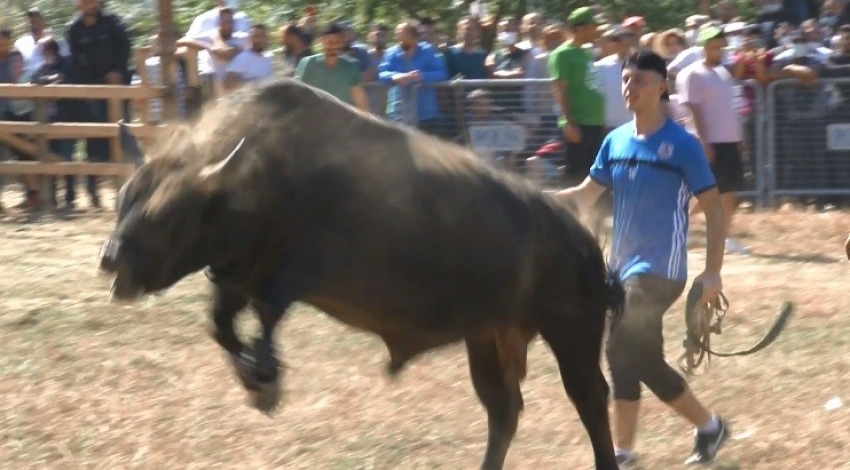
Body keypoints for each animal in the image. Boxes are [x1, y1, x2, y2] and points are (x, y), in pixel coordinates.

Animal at [99, 79, 628, 468]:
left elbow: (264, 321)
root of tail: (582, 240)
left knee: (589, 398)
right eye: (126, 197)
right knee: (504, 410)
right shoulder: (235, 279)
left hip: (570, 333)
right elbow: (222, 327)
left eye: (169, 214)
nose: (111, 258)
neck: (258, 177)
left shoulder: (288, 276)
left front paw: (266, 382)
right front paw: (256, 382)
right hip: (487, 337)